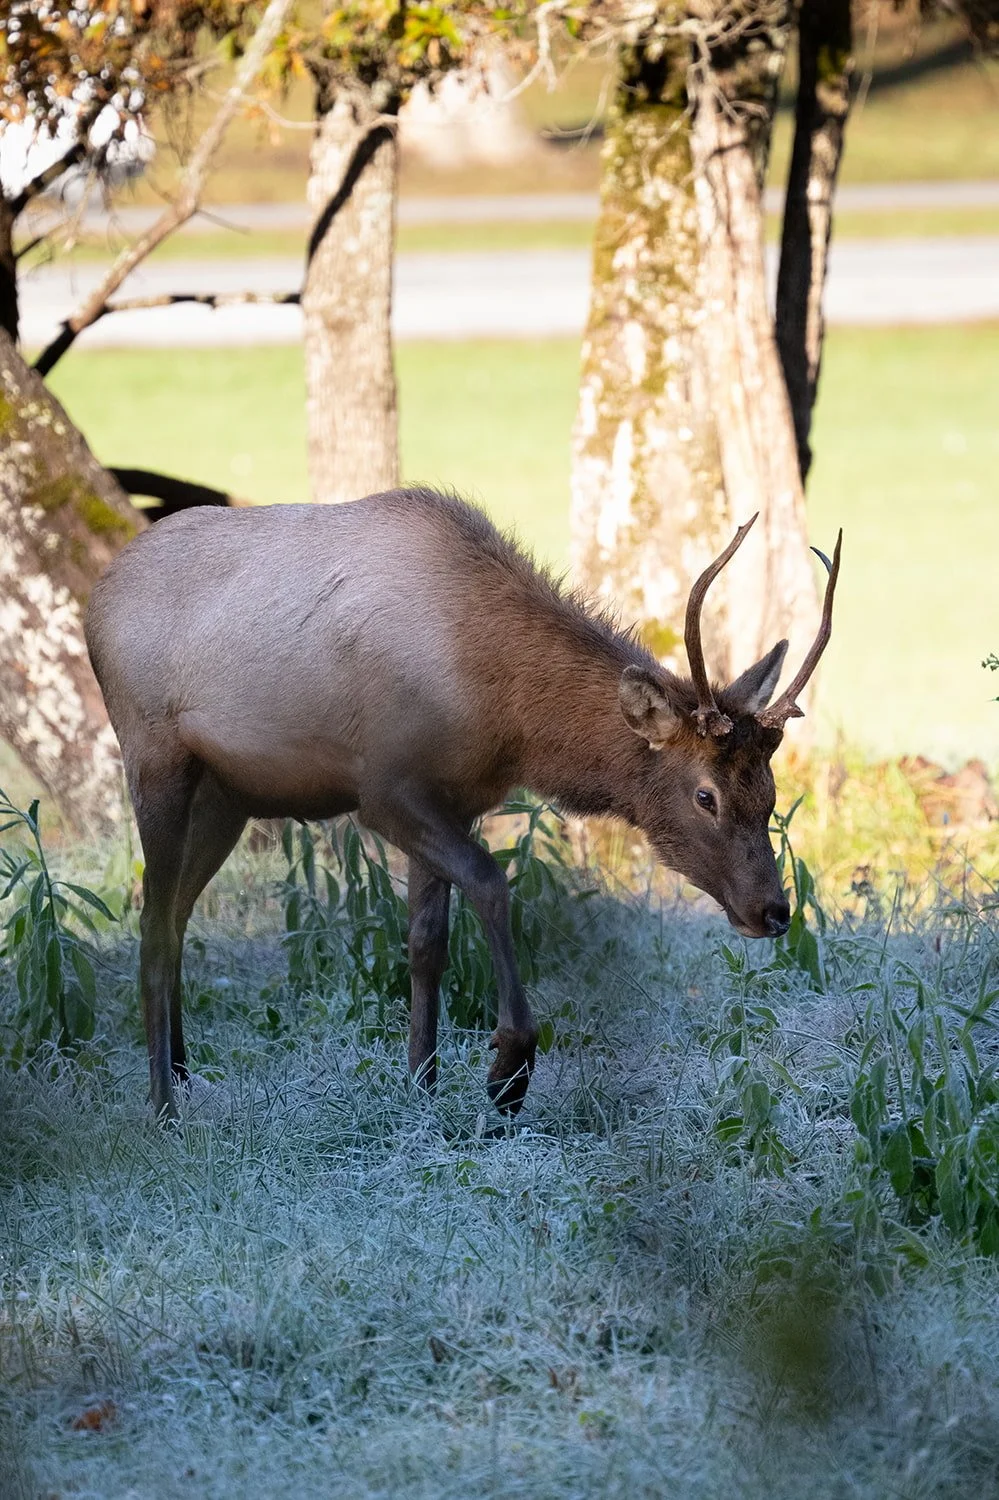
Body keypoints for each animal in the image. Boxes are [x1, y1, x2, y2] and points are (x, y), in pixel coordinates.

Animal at [84, 487, 841, 1122]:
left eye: (769, 792)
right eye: (704, 794)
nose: (772, 910)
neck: (501, 714)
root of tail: (95, 598)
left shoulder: (455, 798)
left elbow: (426, 941)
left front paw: (420, 1084)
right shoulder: (385, 789)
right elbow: (490, 881)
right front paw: (507, 1069)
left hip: (226, 796)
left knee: (177, 915)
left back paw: (185, 1073)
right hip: (151, 755)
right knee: (151, 921)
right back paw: (161, 1105)